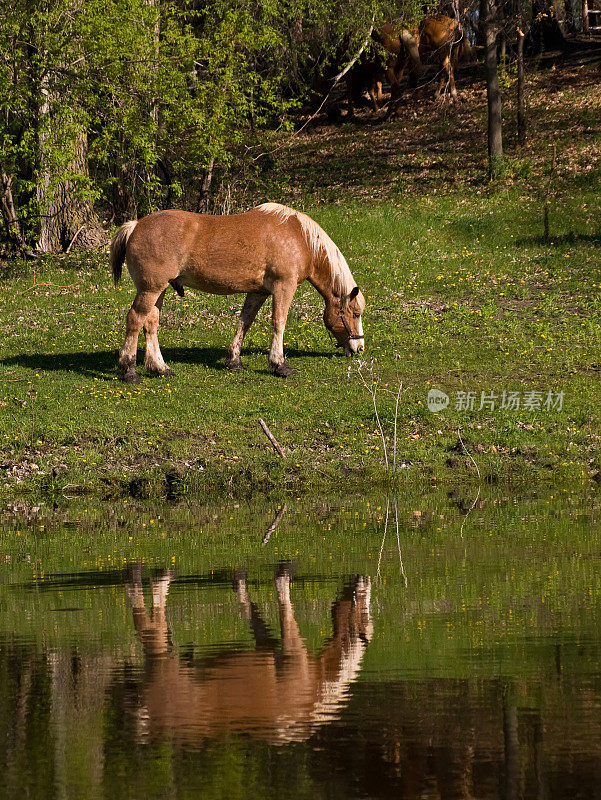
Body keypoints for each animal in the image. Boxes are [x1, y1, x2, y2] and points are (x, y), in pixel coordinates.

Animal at [109, 205, 364, 382]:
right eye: (356, 314)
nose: (359, 348)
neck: (300, 238)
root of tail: (136, 225)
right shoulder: (284, 286)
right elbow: (279, 323)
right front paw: (279, 364)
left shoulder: (258, 292)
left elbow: (245, 321)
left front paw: (234, 360)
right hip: (150, 289)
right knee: (135, 320)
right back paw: (129, 370)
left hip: (158, 289)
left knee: (151, 323)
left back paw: (160, 368)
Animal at [125, 568, 372, 744]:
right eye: (364, 609)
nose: (364, 579)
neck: (318, 684)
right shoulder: (292, 652)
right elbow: (282, 592)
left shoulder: (266, 645)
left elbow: (247, 608)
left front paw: (240, 580)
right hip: (164, 660)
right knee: (150, 611)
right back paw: (157, 575)